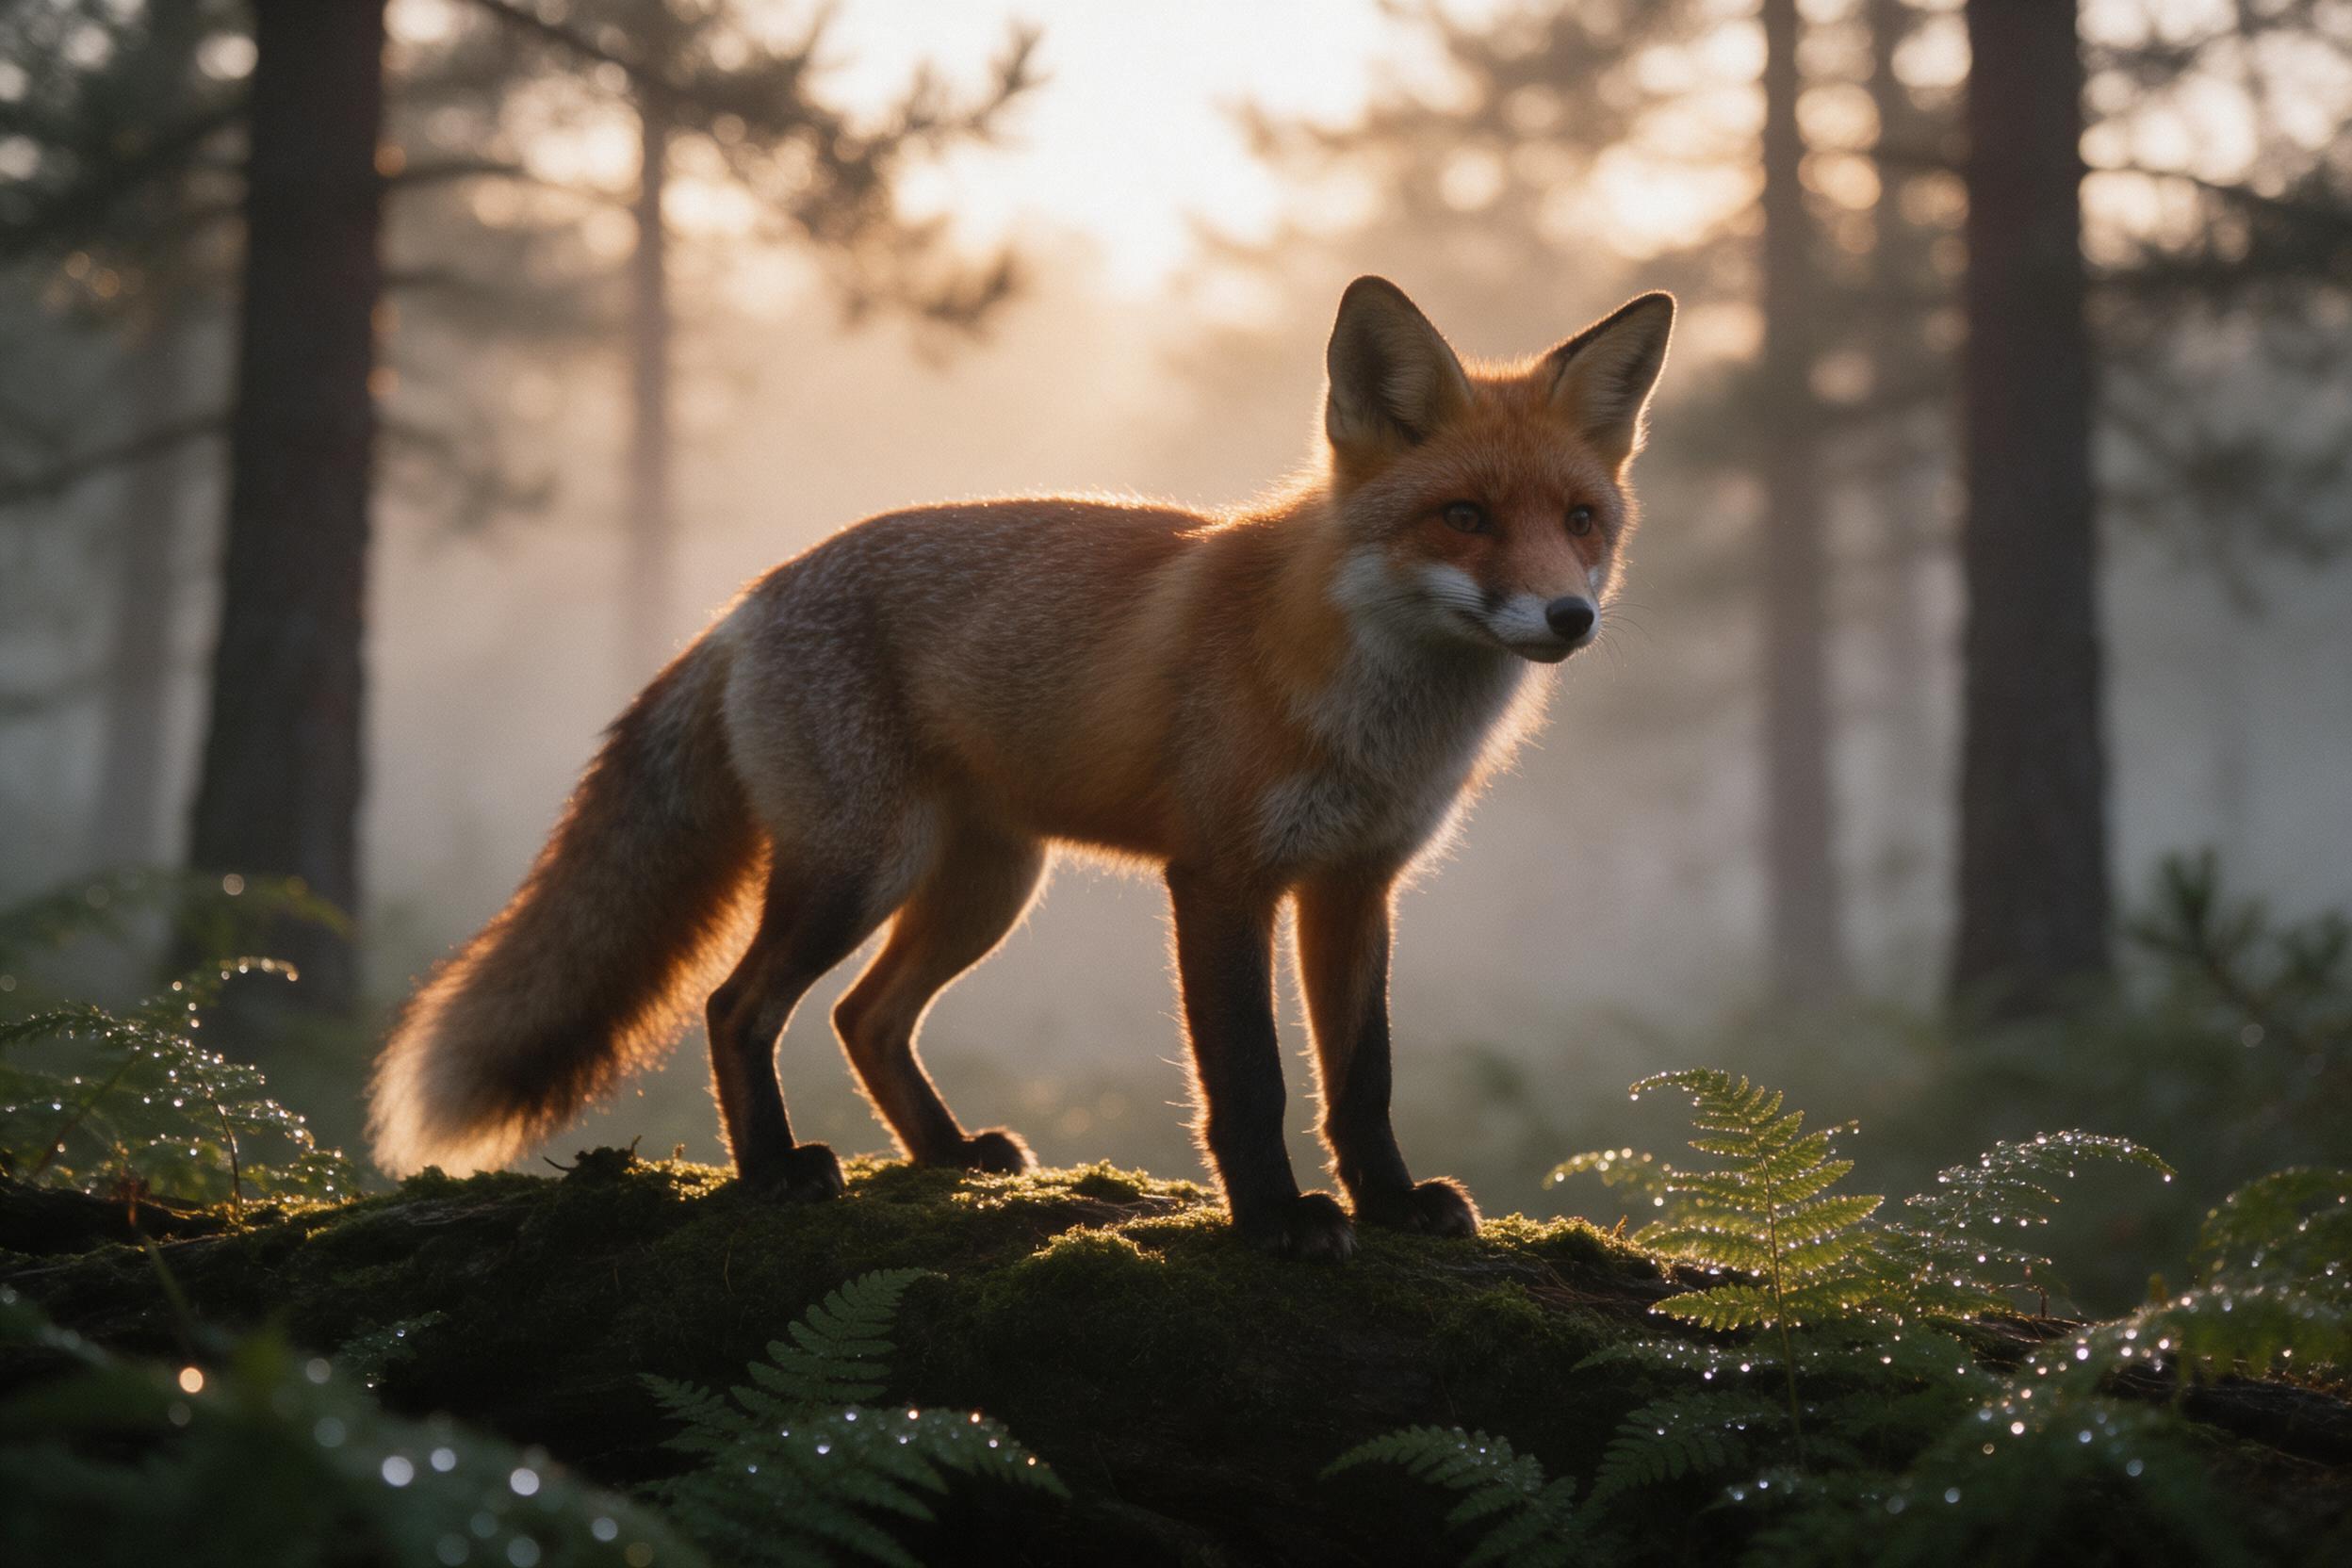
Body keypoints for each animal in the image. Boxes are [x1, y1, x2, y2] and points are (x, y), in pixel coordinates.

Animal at [369, 276, 1674, 1260]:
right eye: (1464, 516)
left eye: (1580, 520)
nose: (1569, 616)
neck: (1372, 710)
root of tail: (752, 594)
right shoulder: (1222, 878)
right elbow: (1249, 1077)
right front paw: (1274, 1221)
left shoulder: (1356, 886)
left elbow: (1364, 1075)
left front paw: (1393, 1204)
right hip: (862, 865)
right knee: (740, 1005)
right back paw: (776, 1170)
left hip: (988, 886)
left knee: (863, 1015)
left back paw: (948, 1155)